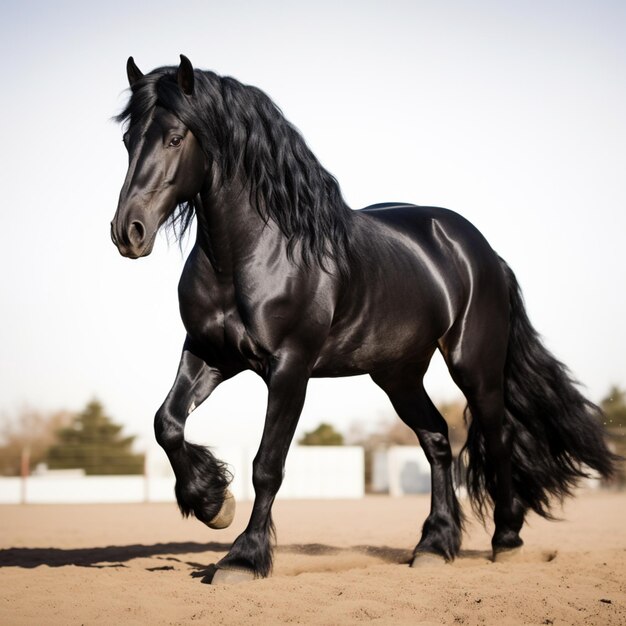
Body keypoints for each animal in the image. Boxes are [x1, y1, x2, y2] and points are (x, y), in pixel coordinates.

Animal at [111, 56, 616, 584]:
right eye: (127, 140)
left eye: (175, 137)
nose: (128, 232)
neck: (255, 253)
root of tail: (482, 252)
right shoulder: (209, 354)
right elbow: (166, 423)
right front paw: (213, 503)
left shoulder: (289, 368)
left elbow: (267, 464)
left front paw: (242, 558)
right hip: (397, 374)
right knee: (437, 439)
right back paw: (433, 545)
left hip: (474, 365)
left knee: (498, 438)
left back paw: (507, 539)